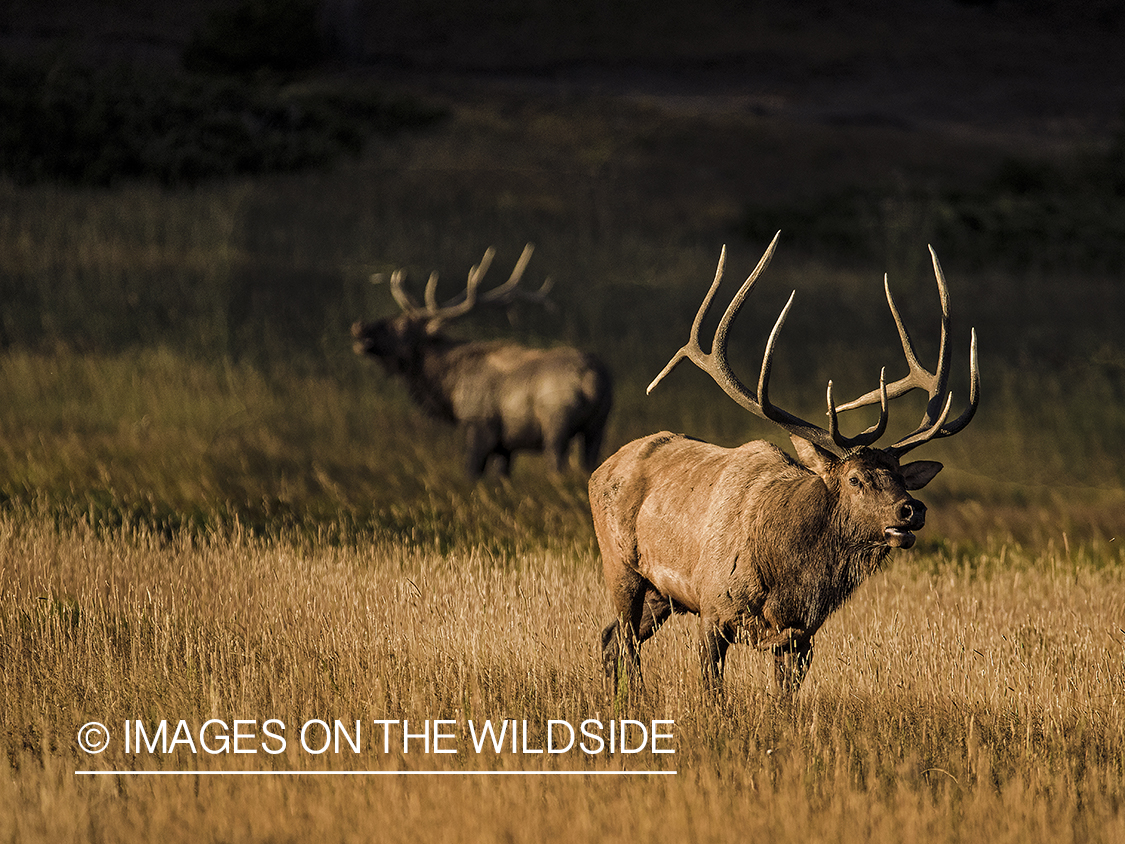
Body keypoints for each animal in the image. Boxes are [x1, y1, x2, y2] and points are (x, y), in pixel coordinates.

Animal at [353, 246, 612, 481]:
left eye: (401, 326)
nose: (360, 328)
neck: (448, 387)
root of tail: (591, 379)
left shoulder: (478, 425)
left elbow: (472, 472)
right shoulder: (505, 445)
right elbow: (502, 477)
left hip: (556, 422)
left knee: (556, 463)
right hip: (598, 427)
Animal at [594, 235, 981, 697]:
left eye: (902, 476)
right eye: (855, 479)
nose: (911, 509)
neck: (789, 580)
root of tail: (600, 469)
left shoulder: (801, 636)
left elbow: (784, 700)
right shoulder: (712, 608)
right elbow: (712, 691)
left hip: (661, 593)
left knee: (610, 638)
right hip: (621, 566)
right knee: (625, 641)